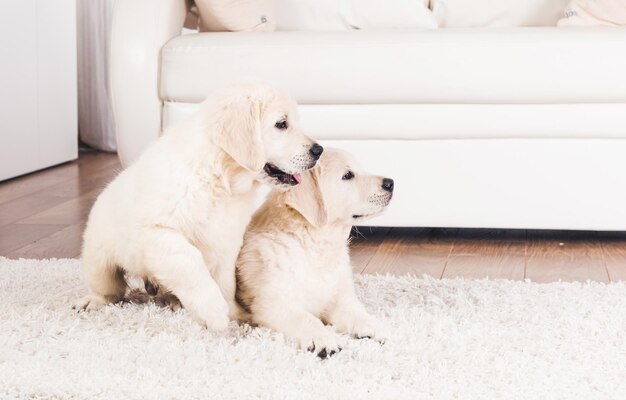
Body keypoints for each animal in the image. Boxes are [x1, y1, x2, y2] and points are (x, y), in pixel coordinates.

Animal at [75, 82, 324, 332]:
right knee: (109, 289)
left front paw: (235, 313)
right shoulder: (157, 232)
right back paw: (92, 301)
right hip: (98, 257)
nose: (318, 150)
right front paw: (213, 311)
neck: (219, 178)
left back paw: (171, 299)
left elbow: (226, 282)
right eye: (281, 124)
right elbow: (190, 261)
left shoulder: (227, 241)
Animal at [236, 148, 392, 358]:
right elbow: (308, 319)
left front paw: (371, 325)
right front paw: (322, 339)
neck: (316, 245)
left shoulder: (338, 296)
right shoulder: (273, 304)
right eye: (348, 175)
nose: (391, 183)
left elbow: (355, 309)